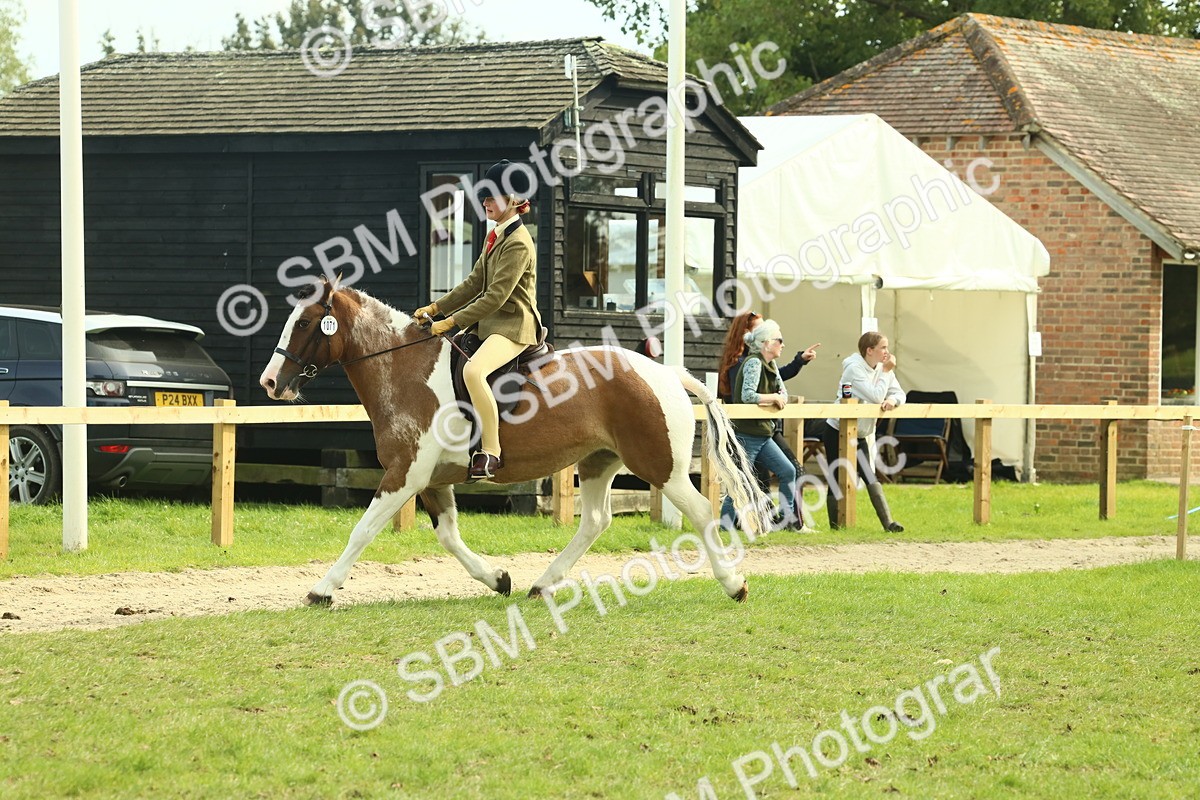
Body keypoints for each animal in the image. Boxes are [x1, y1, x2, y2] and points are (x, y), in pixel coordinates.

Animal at [257, 279, 772, 605]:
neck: (404, 369)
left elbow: (362, 530)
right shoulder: (432, 479)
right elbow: (448, 535)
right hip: (599, 461)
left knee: (701, 512)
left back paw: (734, 584)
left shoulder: (405, 473)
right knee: (595, 522)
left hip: (660, 466)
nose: (269, 382)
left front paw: (322, 589)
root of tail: (666, 372)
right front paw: (498, 578)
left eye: (304, 324)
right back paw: (542, 585)